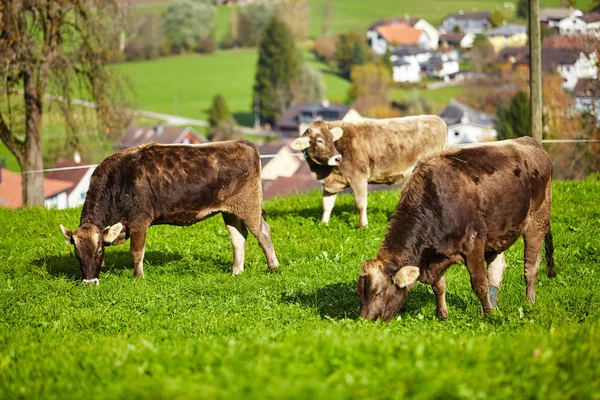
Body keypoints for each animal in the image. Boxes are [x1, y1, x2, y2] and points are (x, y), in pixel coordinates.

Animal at [58, 141, 278, 284]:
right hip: (230, 211)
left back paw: (273, 267)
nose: (89, 282)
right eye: (77, 253)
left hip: (249, 205)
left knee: (262, 233)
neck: (117, 182)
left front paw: (138, 278)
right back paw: (236, 272)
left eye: (99, 251)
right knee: (238, 238)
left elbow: (136, 253)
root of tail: (242, 143)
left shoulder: (139, 221)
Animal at [288, 115, 448, 228]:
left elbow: (360, 204)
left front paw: (363, 225)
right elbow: (326, 205)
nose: (337, 158)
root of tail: (438, 119)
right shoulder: (330, 183)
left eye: (332, 139)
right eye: (319, 140)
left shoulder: (358, 177)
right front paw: (323, 224)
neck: (323, 171)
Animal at [354, 138, 556, 322]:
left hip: (537, 220)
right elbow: (439, 286)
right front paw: (442, 314)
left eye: (377, 293)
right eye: (359, 293)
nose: (364, 321)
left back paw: (528, 303)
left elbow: (479, 284)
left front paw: (489, 316)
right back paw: (494, 305)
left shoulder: (474, 244)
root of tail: (530, 141)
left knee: (530, 267)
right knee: (496, 272)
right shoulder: (434, 255)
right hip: (497, 235)